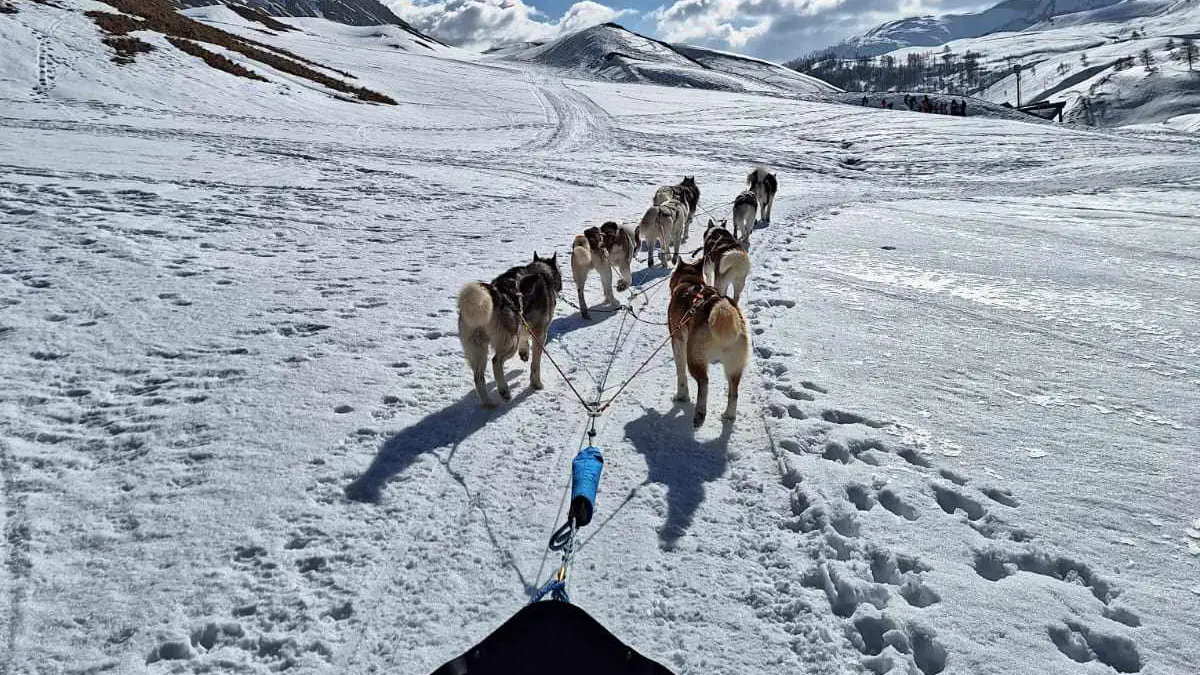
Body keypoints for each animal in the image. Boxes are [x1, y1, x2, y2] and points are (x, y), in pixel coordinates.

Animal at [458, 252, 561, 408]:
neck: (540, 272)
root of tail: (493, 295)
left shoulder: (524, 324)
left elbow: (524, 341)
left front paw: (524, 353)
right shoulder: (540, 333)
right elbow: (535, 364)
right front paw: (536, 384)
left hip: (478, 349)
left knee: (478, 377)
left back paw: (488, 403)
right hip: (510, 342)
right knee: (496, 361)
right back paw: (504, 390)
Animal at [667, 257, 748, 425]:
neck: (689, 282)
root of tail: (721, 308)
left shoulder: (677, 340)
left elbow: (681, 373)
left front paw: (682, 396)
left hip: (694, 358)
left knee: (704, 383)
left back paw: (700, 413)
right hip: (734, 366)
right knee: (734, 392)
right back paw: (729, 415)